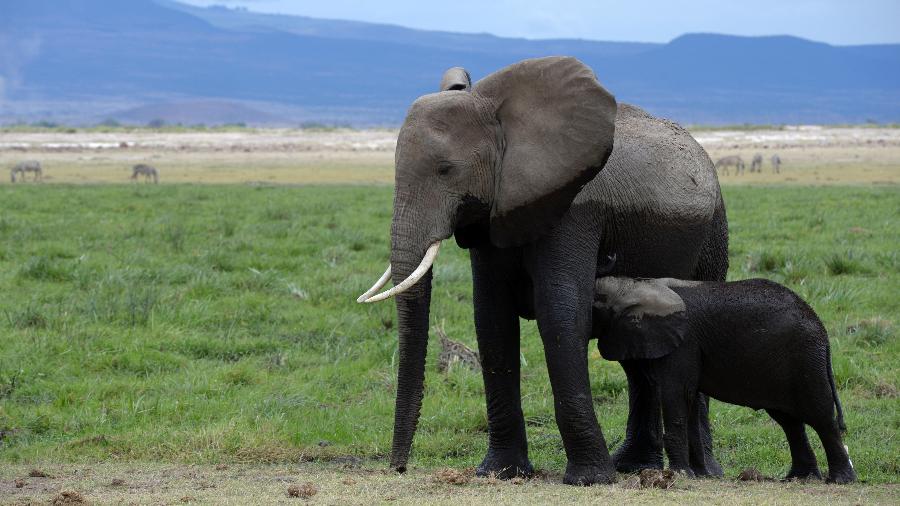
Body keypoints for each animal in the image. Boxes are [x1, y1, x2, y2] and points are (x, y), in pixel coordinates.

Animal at [356, 56, 728, 486]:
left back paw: (702, 473)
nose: (399, 467)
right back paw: (636, 465)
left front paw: (589, 478)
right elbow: (492, 320)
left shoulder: (576, 210)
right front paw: (499, 472)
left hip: (714, 229)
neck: (498, 114)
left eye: (446, 170)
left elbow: (560, 314)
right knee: (639, 356)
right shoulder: (493, 212)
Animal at [596, 276, 856, 486]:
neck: (638, 283)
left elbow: (677, 392)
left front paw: (681, 475)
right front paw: (699, 475)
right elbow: (689, 398)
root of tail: (822, 332)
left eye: (596, 303)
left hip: (805, 360)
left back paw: (840, 480)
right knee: (790, 422)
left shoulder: (684, 343)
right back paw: (800, 478)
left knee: (821, 418)